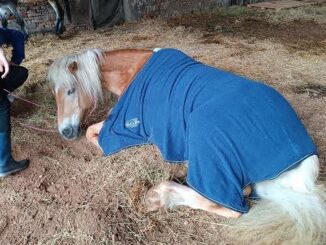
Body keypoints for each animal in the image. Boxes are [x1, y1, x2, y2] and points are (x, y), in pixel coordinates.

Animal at [48, 48, 326, 245]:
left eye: (71, 91)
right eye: (55, 93)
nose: (65, 132)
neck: (134, 71)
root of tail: (303, 164)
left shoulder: (128, 127)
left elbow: (93, 134)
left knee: (228, 203)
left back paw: (159, 195)